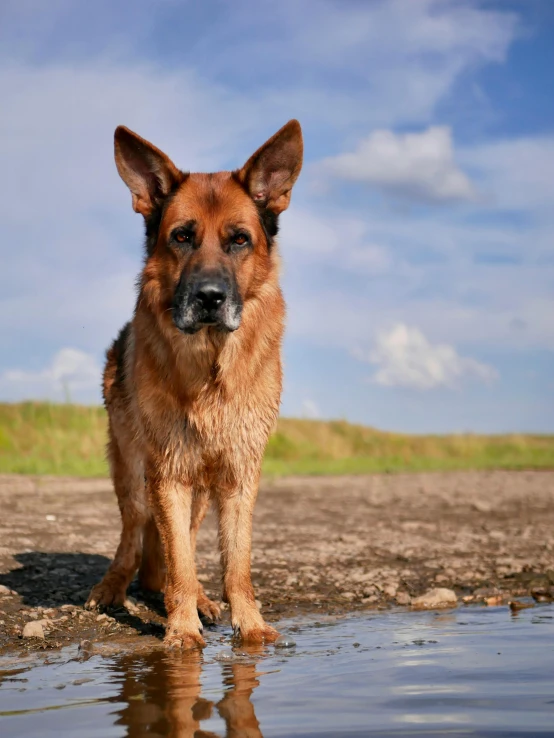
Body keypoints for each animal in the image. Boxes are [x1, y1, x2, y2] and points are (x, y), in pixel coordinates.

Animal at [85, 119, 302, 644]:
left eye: (239, 240)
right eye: (182, 236)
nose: (209, 297)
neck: (211, 369)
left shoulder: (240, 474)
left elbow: (235, 562)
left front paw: (250, 627)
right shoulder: (168, 473)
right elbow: (179, 562)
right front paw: (181, 634)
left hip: (201, 493)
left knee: (174, 546)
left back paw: (201, 598)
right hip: (136, 476)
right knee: (135, 540)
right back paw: (114, 587)